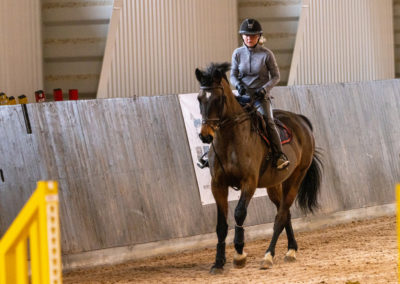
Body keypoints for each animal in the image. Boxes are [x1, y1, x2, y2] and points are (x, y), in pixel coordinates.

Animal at [194, 62, 322, 272]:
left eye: (219, 99)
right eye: (199, 98)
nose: (205, 136)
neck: (231, 140)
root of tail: (301, 120)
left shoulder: (249, 182)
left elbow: (239, 213)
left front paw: (239, 254)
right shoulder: (217, 185)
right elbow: (221, 225)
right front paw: (218, 262)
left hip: (295, 179)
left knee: (280, 217)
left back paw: (269, 256)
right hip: (274, 185)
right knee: (285, 213)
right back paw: (291, 249)